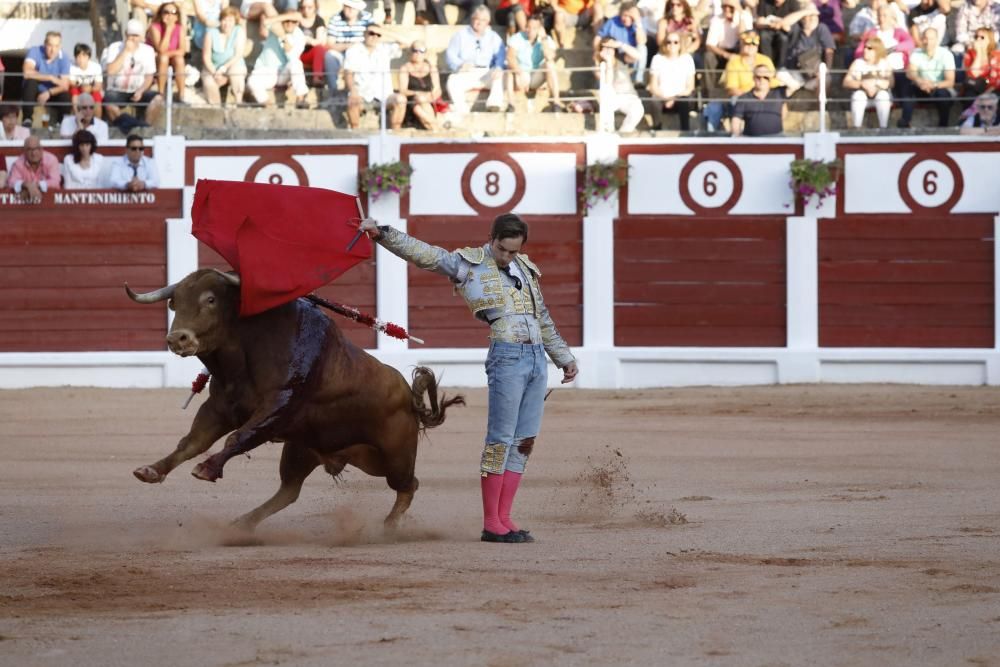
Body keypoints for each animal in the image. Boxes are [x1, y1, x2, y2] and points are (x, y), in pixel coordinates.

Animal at [125, 268, 464, 536]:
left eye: (210, 300)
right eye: (174, 302)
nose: (177, 338)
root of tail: (409, 398)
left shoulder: (278, 405)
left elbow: (238, 436)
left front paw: (206, 469)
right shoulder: (220, 408)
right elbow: (191, 442)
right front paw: (151, 470)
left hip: (394, 456)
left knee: (408, 484)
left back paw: (389, 526)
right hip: (306, 449)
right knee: (289, 490)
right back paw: (242, 524)